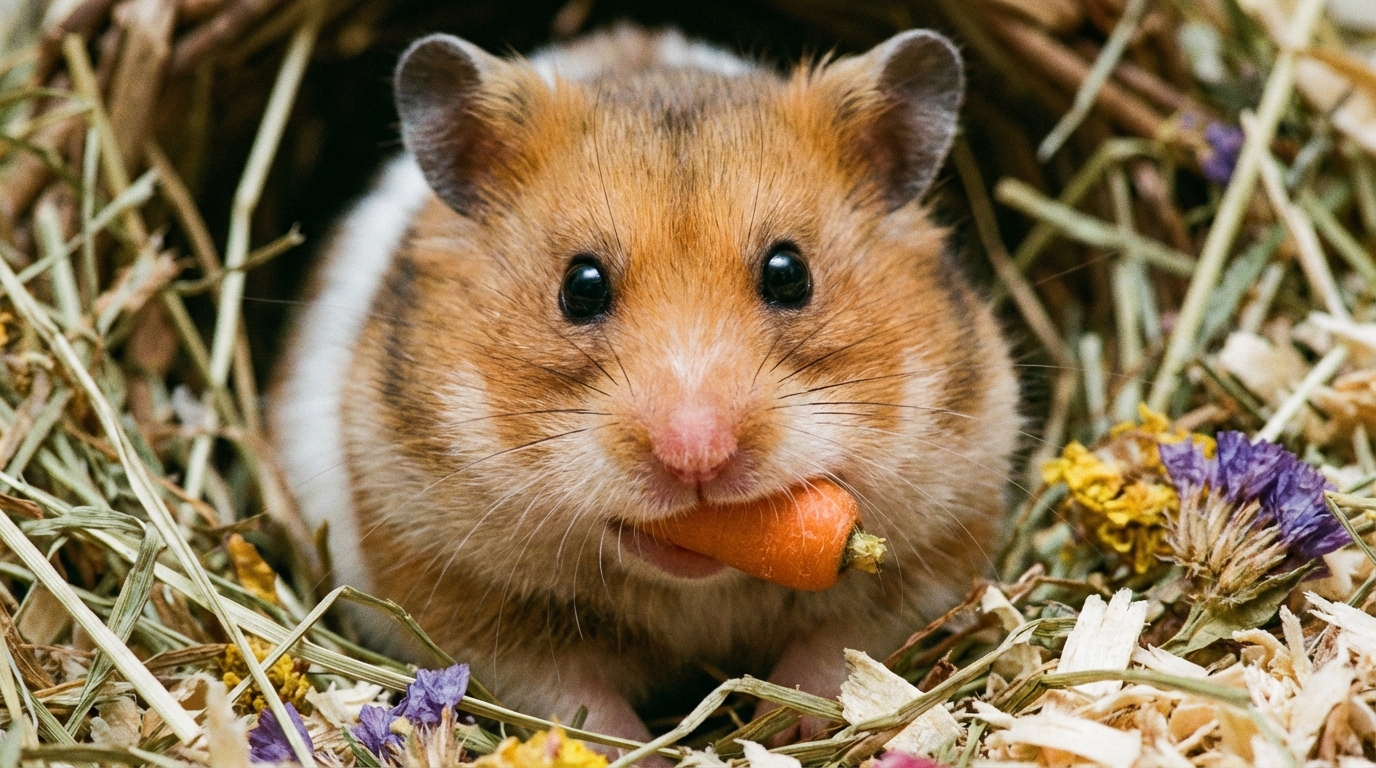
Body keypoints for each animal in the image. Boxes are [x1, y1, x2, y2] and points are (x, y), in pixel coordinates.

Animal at [270, 25, 1020, 746]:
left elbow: (835, 646)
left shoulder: (933, 550)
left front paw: (796, 722)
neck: (699, 586)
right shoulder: (453, 588)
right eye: (580, 286)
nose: (697, 457)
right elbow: (573, 697)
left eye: (789, 273)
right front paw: (634, 748)